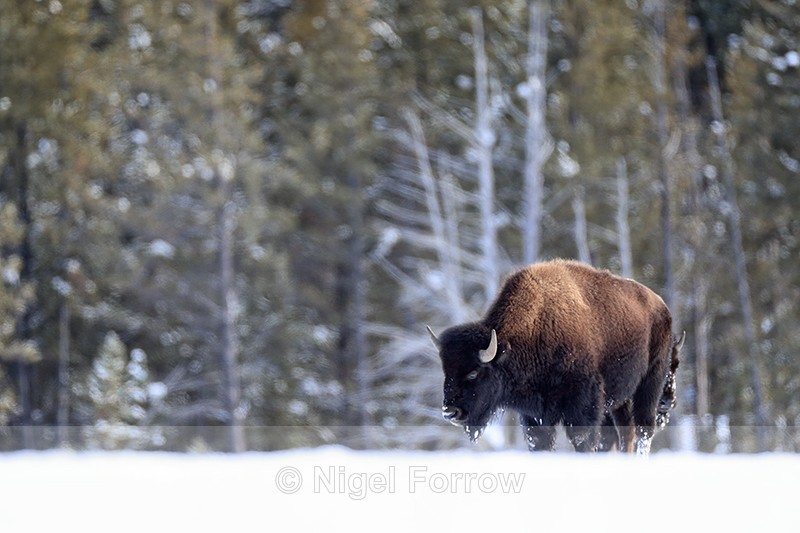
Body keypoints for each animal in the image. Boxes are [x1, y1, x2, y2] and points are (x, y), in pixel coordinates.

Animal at [428, 259, 684, 454]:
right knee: (626, 432)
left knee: (643, 431)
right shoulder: (535, 416)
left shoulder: (582, 405)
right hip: (620, 400)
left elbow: (583, 441)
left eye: (473, 372)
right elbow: (540, 444)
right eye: (446, 371)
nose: (450, 412)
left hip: (648, 387)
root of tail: (662, 306)